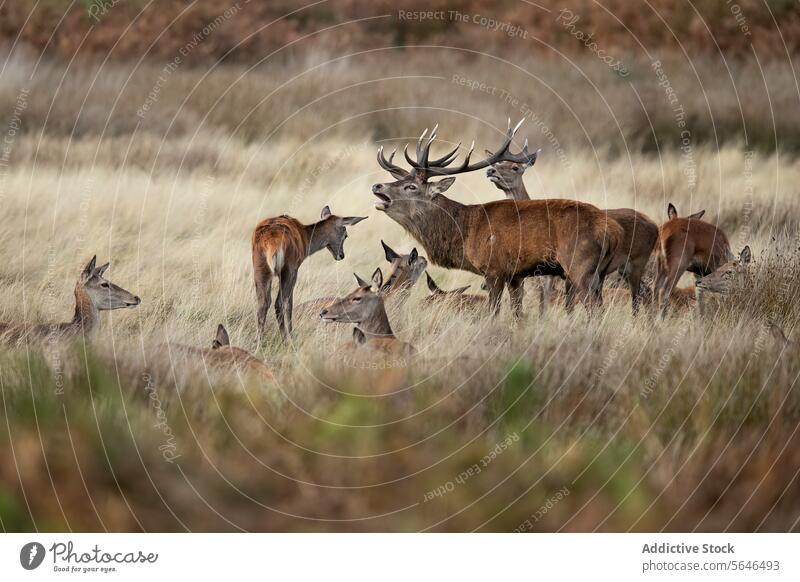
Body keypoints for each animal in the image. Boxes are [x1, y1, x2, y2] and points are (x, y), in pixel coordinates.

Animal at [252, 206, 368, 340]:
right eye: (346, 235)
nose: (341, 255)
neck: (305, 238)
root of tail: (272, 241)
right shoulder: (295, 269)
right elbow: (289, 303)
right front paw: (291, 334)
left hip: (260, 267)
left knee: (263, 303)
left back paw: (259, 340)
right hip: (287, 269)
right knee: (279, 303)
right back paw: (287, 338)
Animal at [372, 120, 620, 318]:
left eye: (411, 186)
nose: (377, 185)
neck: (466, 233)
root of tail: (613, 231)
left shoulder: (494, 269)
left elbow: (493, 313)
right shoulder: (516, 275)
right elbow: (518, 314)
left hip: (580, 265)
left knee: (594, 309)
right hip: (599, 272)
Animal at [484, 144, 660, 314]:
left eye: (515, 167)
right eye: (497, 164)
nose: (490, 171)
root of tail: (655, 226)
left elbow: (555, 305)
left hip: (636, 262)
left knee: (640, 295)